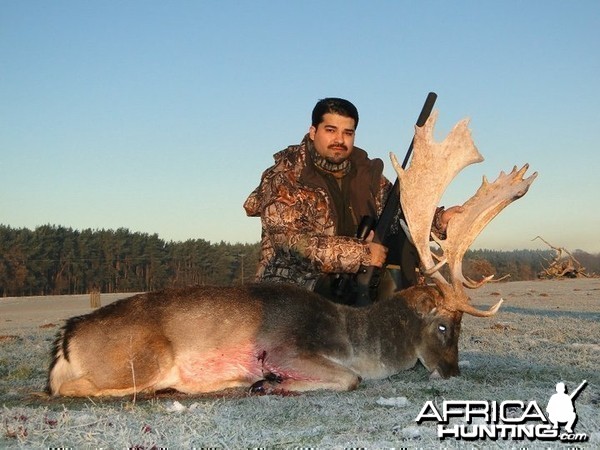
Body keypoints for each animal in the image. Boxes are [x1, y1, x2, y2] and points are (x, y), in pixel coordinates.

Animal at [45, 110, 536, 396]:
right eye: (442, 326)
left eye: (462, 329)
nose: (453, 373)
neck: (355, 338)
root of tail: (66, 338)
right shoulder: (285, 350)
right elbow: (349, 379)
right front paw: (269, 384)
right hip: (142, 357)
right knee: (73, 389)